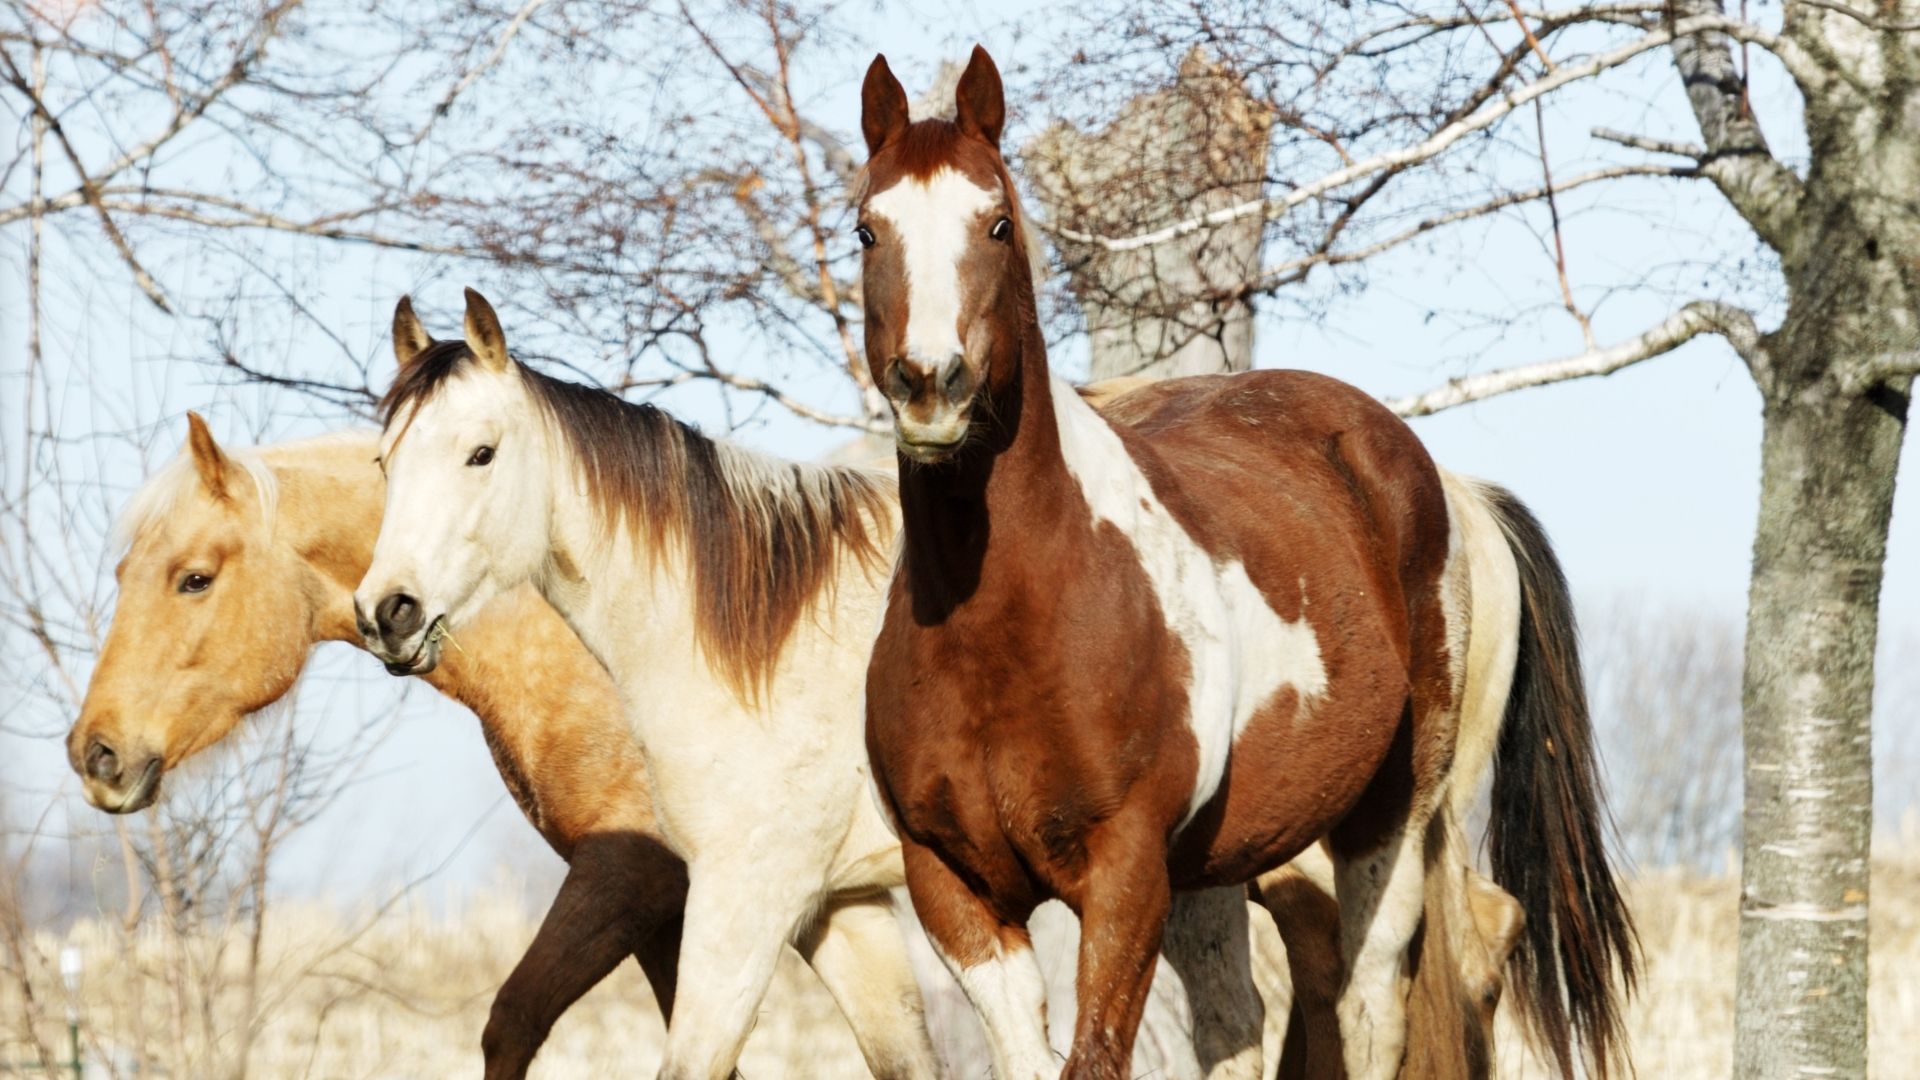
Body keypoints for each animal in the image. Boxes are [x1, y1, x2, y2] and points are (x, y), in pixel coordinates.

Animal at [854, 47, 1635, 1080]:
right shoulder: (955, 891)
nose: (930, 388)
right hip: (1221, 866)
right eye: (867, 228)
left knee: (1371, 1003)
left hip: (1392, 817)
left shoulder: (1124, 876)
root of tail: (1435, 475)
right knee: (1244, 1021)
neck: (1007, 629)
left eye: (998, 222)